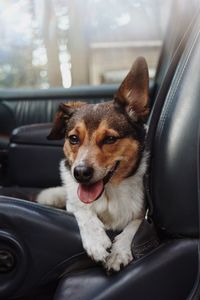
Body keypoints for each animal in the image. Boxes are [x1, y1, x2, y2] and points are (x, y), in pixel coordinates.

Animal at [36, 56, 149, 272]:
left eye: (110, 139)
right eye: (73, 139)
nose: (80, 173)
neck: (108, 195)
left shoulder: (144, 213)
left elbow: (134, 226)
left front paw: (119, 251)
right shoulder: (75, 201)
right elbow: (81, 208)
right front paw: (96, 241)